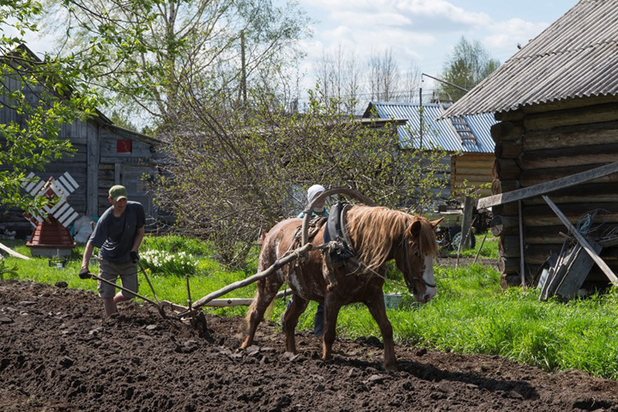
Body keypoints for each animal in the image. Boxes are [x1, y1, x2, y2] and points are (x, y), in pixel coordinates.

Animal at [238, 204, 440, 368]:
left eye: (433, 253)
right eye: (416, 252)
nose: (430, 293)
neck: (349, 247)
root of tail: (271, 232)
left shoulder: (374, 296)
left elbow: (386, 328)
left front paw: (390, 365)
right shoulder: (332, 298)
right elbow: (329, 333)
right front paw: (326, 361)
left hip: (301, 293)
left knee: (289, 321)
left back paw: (292, 354)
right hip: (268, 282)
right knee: (256, 314)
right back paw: (245, 347)